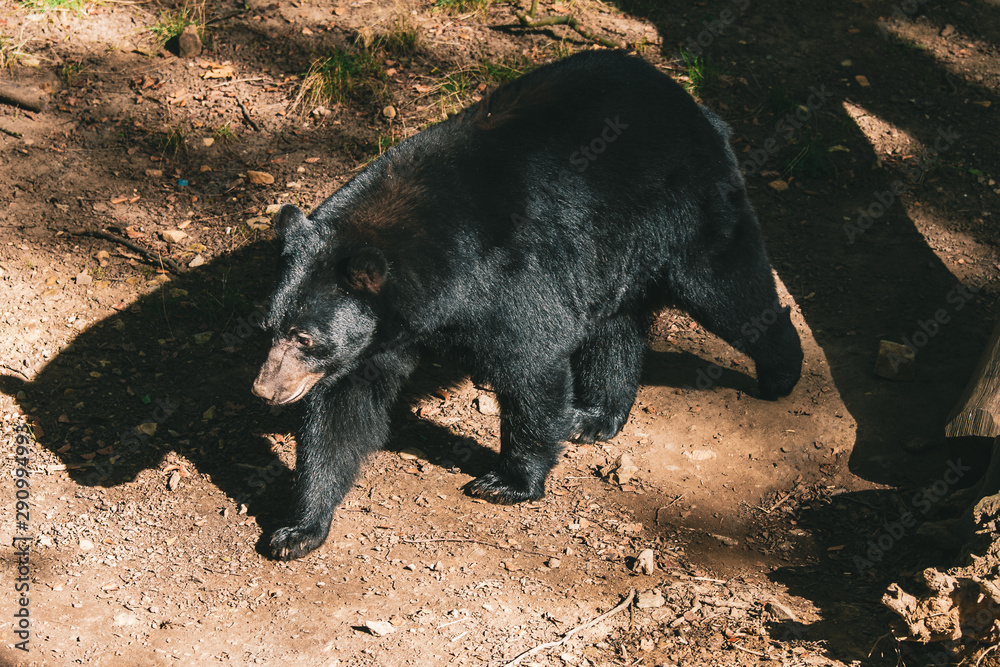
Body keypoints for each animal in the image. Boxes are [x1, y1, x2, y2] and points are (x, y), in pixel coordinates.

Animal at [252, 50, 803, 561]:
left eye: (305, 338)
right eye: (268, 328)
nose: (264, 390)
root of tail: (692, 102)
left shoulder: (508, 275)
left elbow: (531, 361)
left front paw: (508, 481)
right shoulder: (378, 335)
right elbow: (341, 411)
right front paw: (298, 529)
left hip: (686, 204)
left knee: (728, 288)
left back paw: (781, 372)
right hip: (610, 247)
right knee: (616, 323)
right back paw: (596, 415)